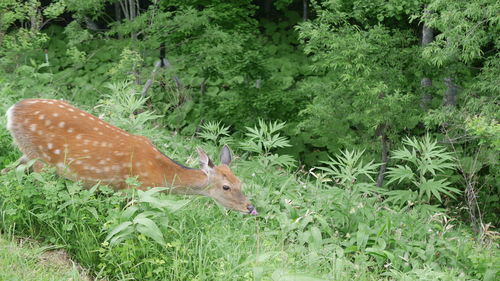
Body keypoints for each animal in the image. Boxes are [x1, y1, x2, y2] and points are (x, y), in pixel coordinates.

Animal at [4, 98, 258, 214]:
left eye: (240, 182)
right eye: (226, 186)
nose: (249, 207)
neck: (162, 175)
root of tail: (11, 111)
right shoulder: (136, 190)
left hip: (26, 153)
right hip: (39, 158)